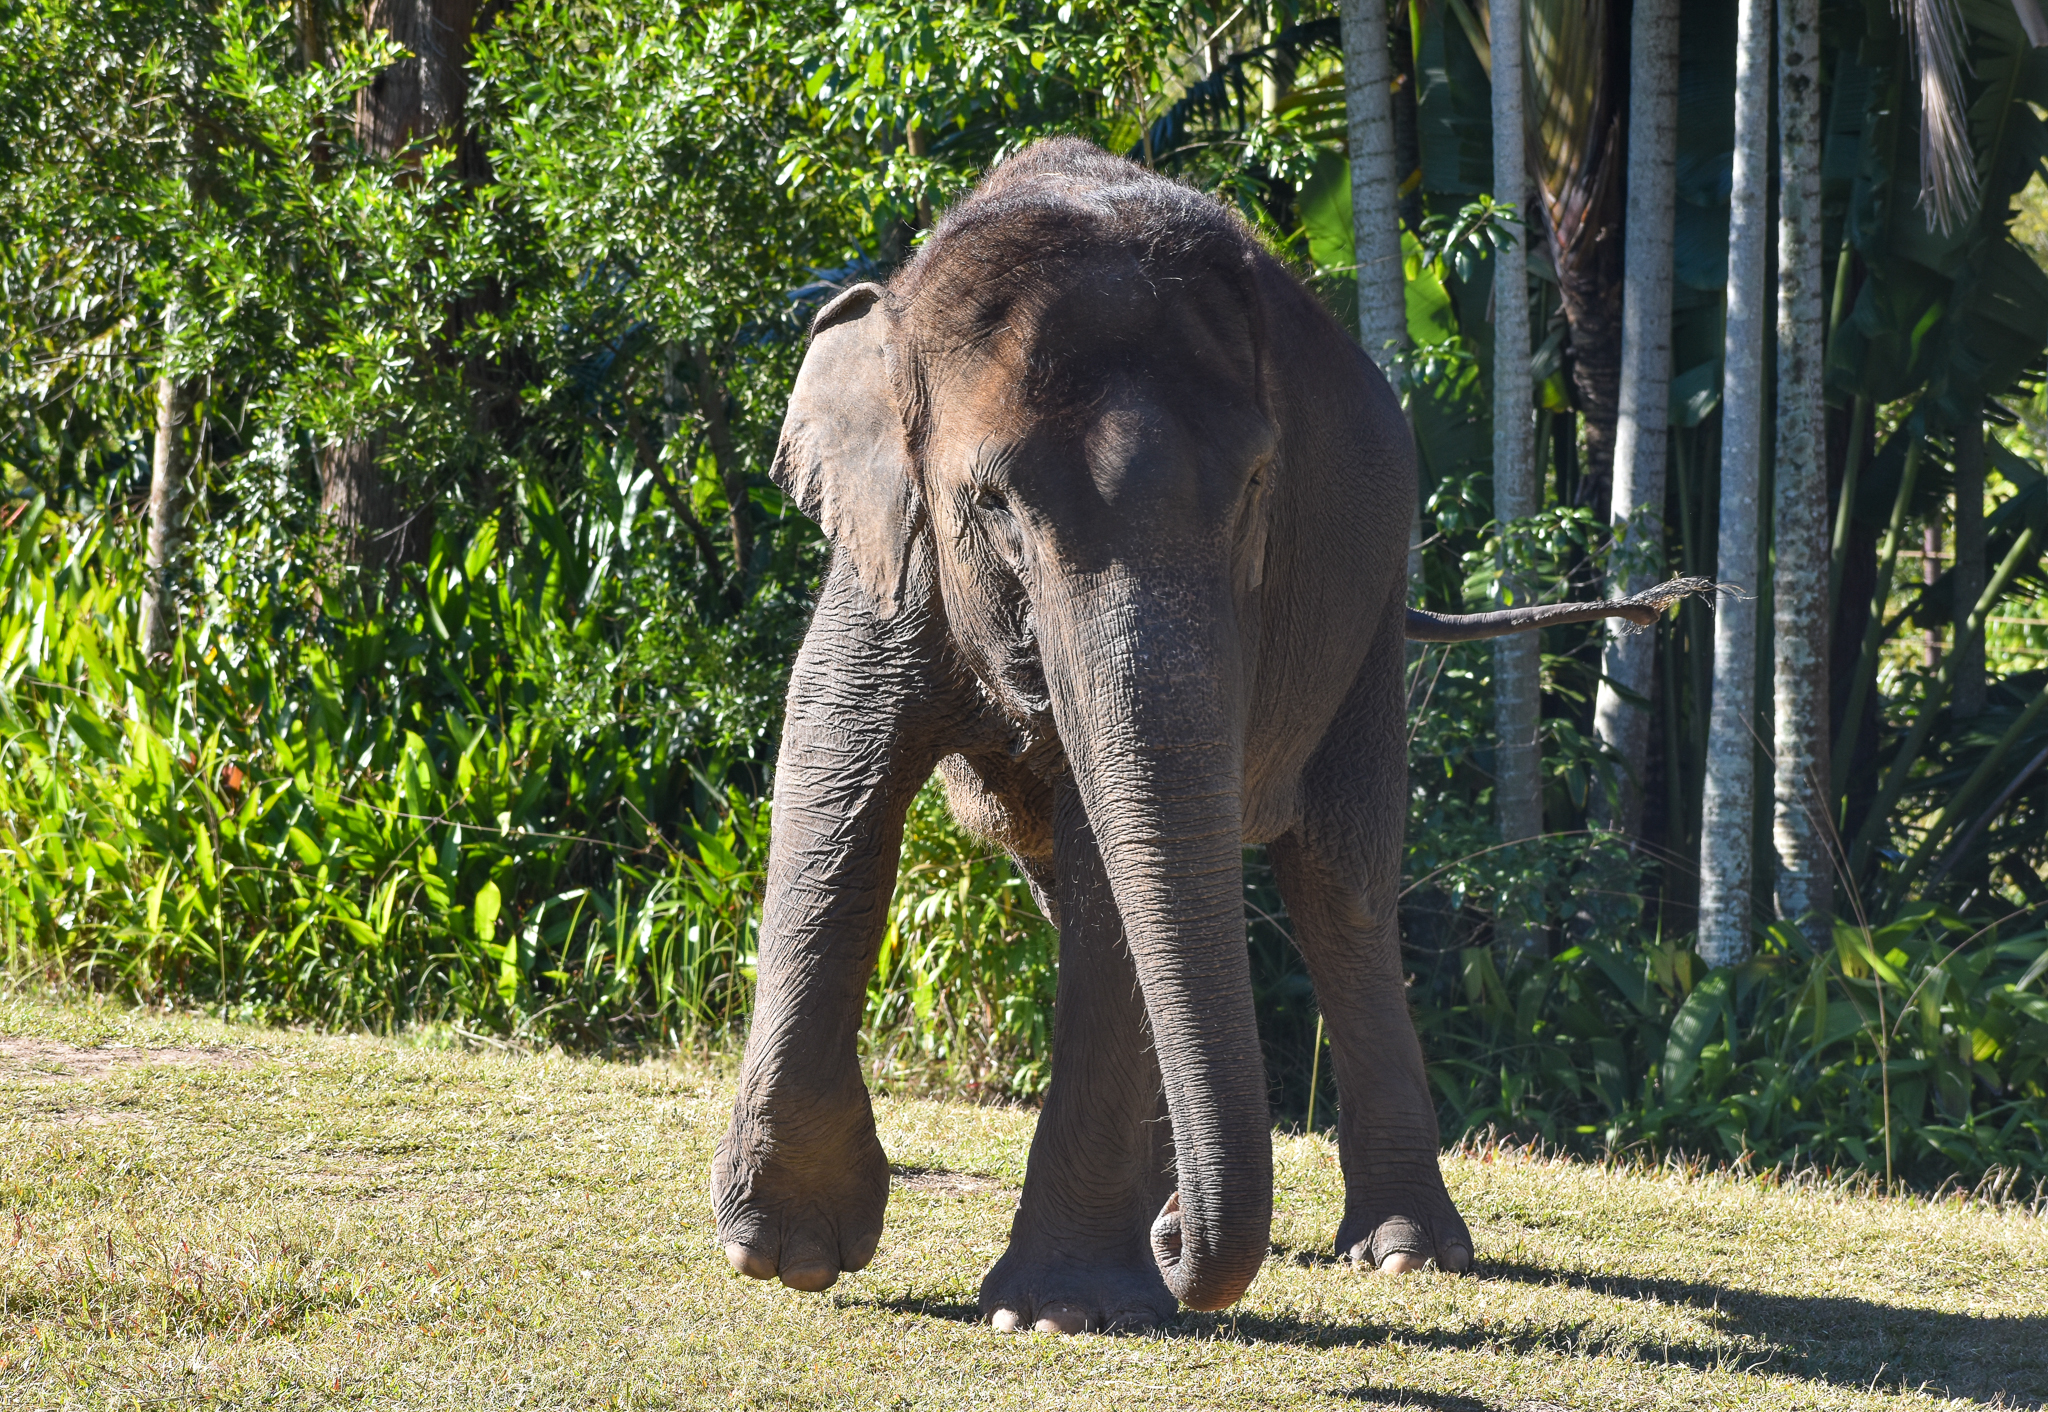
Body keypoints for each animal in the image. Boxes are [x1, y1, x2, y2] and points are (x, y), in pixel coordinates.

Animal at [711, 138, 1703, 1333]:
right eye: (990, 504)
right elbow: (832, 763)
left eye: (1256, 491)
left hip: (1370, 616)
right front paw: (784, 1254)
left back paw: (1397, 1252)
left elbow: (1116, 846)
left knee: (1340, 887)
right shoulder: (887, 552)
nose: (1184, 1248)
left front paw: (1057, 1311)